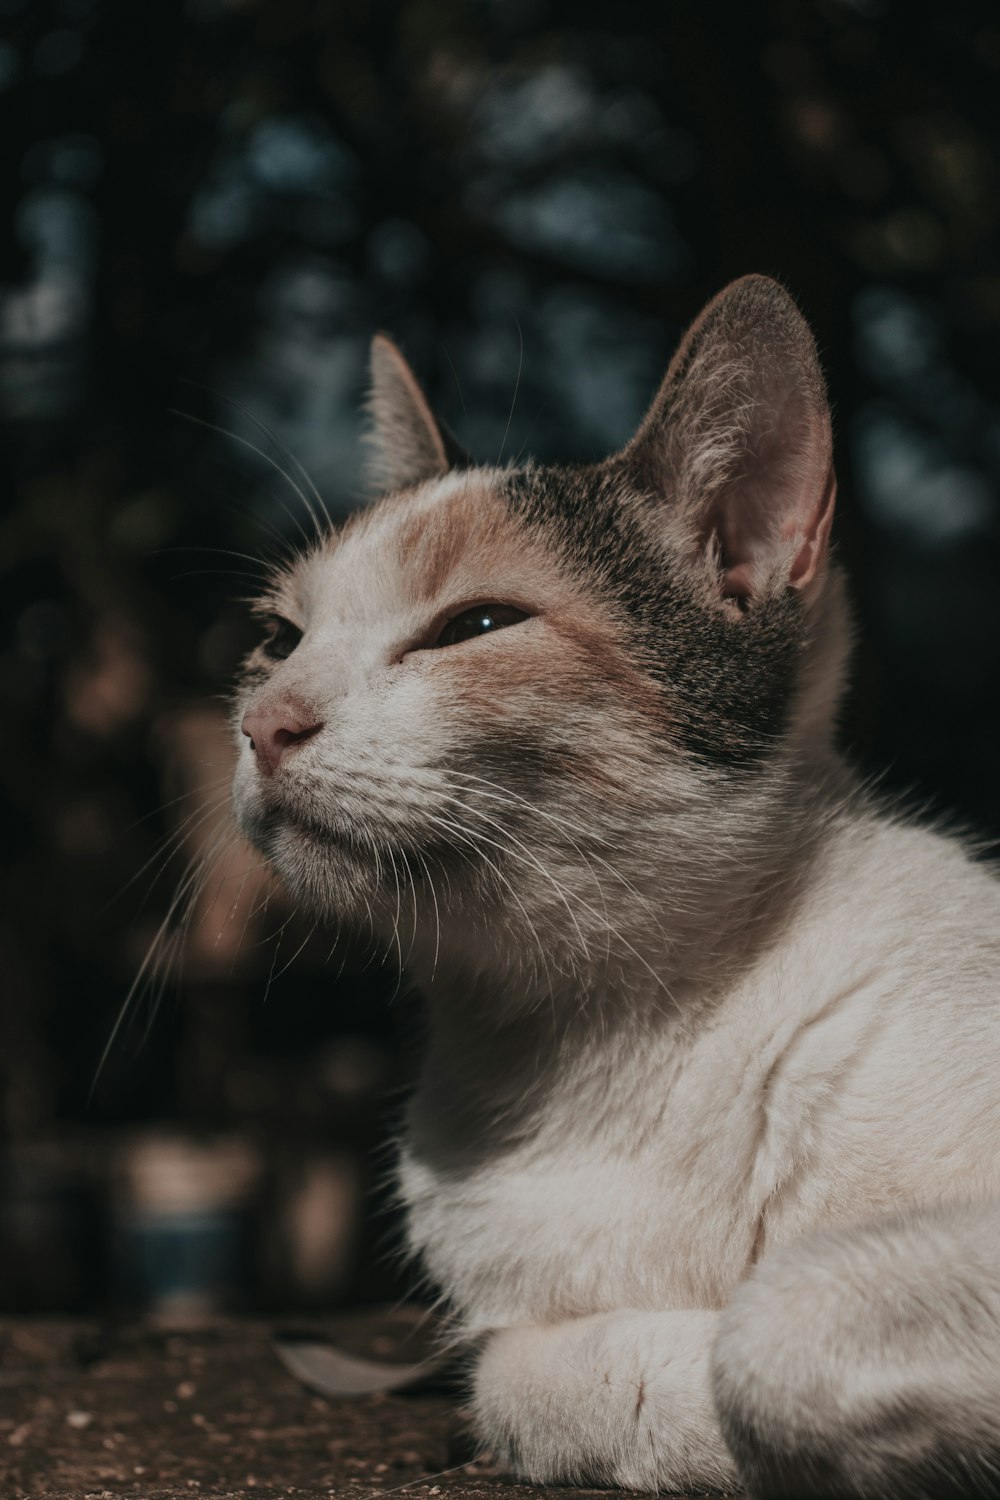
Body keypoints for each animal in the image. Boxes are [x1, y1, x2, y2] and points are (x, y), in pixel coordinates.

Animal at [229, 273, 1000, 1500]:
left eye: (476, 625)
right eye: (277, 636)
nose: (263, 721)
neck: (601, 1035)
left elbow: (772, 1325)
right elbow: (512, 1378)